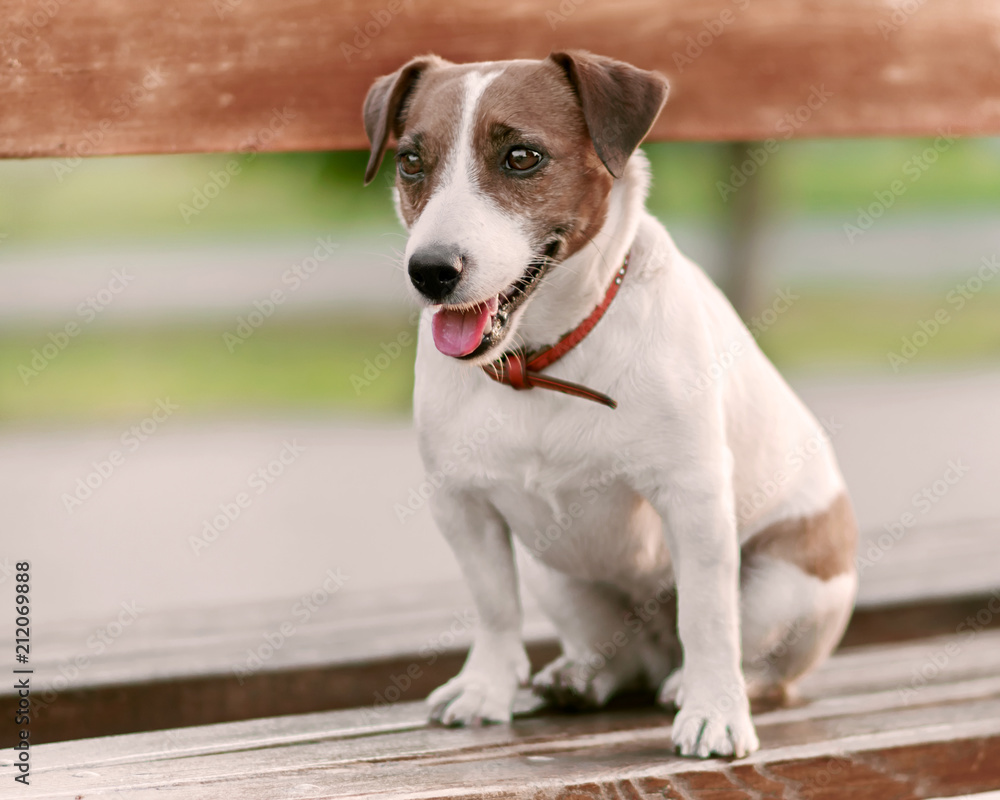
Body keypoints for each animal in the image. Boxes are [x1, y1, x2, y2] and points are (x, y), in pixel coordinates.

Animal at [364, 50, 856, 756]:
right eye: (410, 161)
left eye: (522, 157)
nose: (430, 271)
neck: (540, 363)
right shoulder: (462, 504)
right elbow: (494, 605)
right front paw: (486, 688)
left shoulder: (694, 500)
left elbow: (709, 618)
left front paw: (714, 711)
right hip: (556, 573)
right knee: (617, 653)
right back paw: (584, 676)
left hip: (786, 582)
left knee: (752, 658)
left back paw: (692, 684)